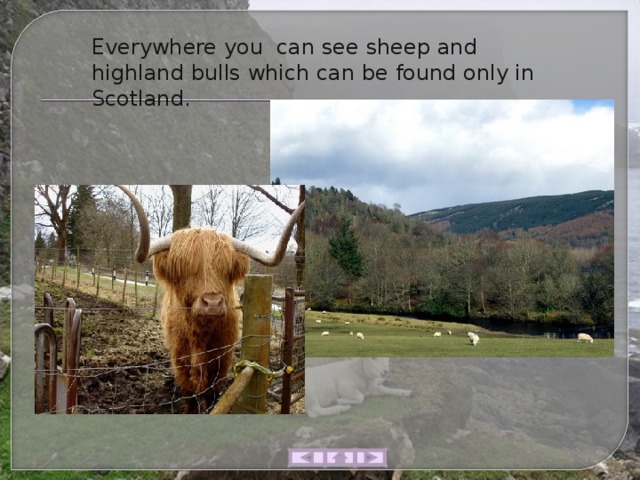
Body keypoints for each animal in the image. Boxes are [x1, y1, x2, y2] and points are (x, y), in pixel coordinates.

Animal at [118, 185, 304, 412]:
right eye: (184, 269)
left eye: (226, 269)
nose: (213, 303)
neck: (200, 336)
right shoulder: (180, 358)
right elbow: (189, 395)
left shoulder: (222, 359)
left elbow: (211, 394)